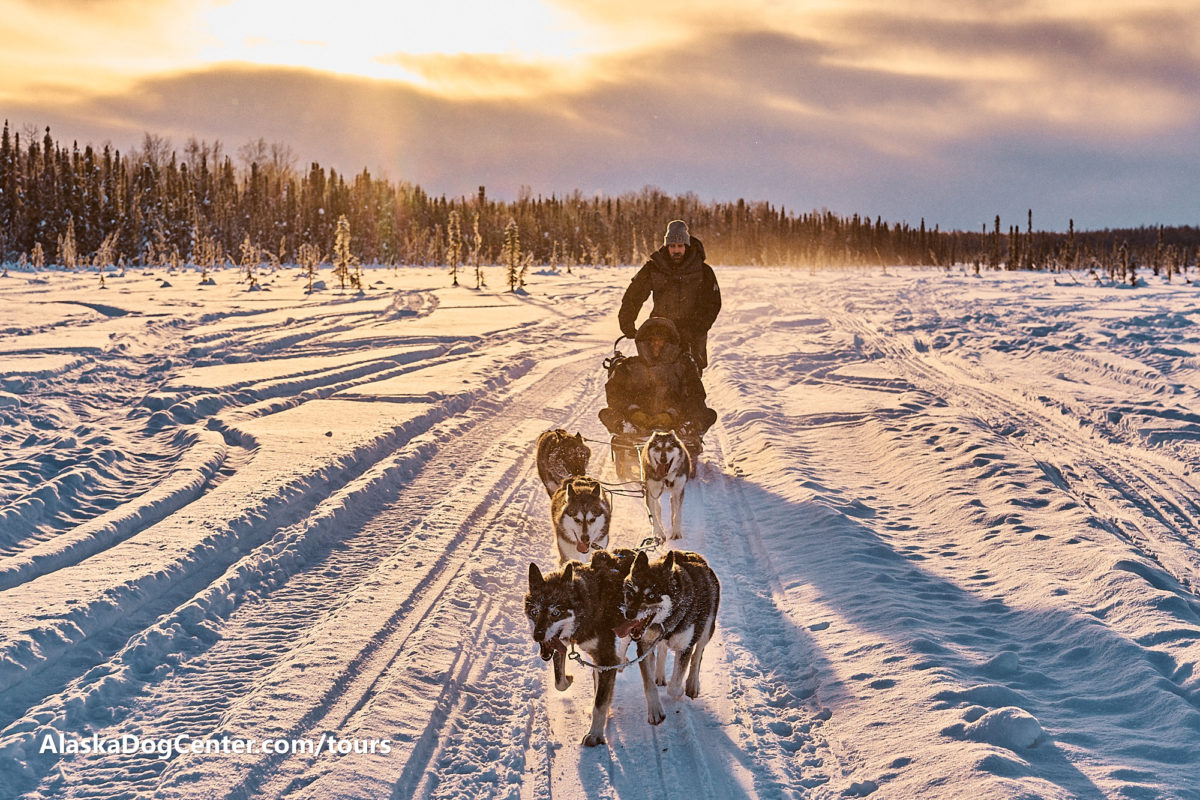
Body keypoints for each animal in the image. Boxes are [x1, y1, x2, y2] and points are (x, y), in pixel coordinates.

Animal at [525, 551, 657, 743]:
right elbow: (559, 682)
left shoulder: (605, 659)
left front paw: (595, 734)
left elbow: (599, 703)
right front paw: (569, 678)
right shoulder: (563, 645)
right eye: (534, 612)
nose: (538, 635)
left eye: (555, 613)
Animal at [614, 551, 715, 705]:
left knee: (697, 655)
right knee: (655, 647)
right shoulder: (644, 644)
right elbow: (649, 677)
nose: (629, 614)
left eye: (651, 596)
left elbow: (674, 685)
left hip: (706, 629)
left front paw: (679, 691)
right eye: (631, 593)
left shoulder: (685, 647)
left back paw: (692, 684)